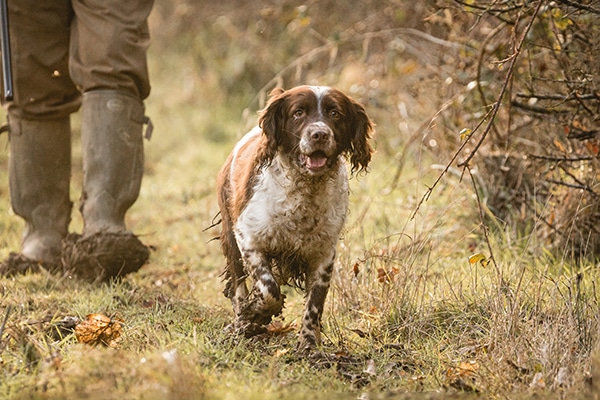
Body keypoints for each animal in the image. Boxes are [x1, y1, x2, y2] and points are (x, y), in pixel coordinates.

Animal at [216, 86, 376, 352]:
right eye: (298, 112)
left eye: (335, 113)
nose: (319, 134)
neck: (305, 189)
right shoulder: (247, 237)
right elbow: (269, 290)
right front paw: (254, 314)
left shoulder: (324, 253)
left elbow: (314, 304)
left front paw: (309, 343)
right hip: (231, 239)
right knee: (239, 286)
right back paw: (241, 325)